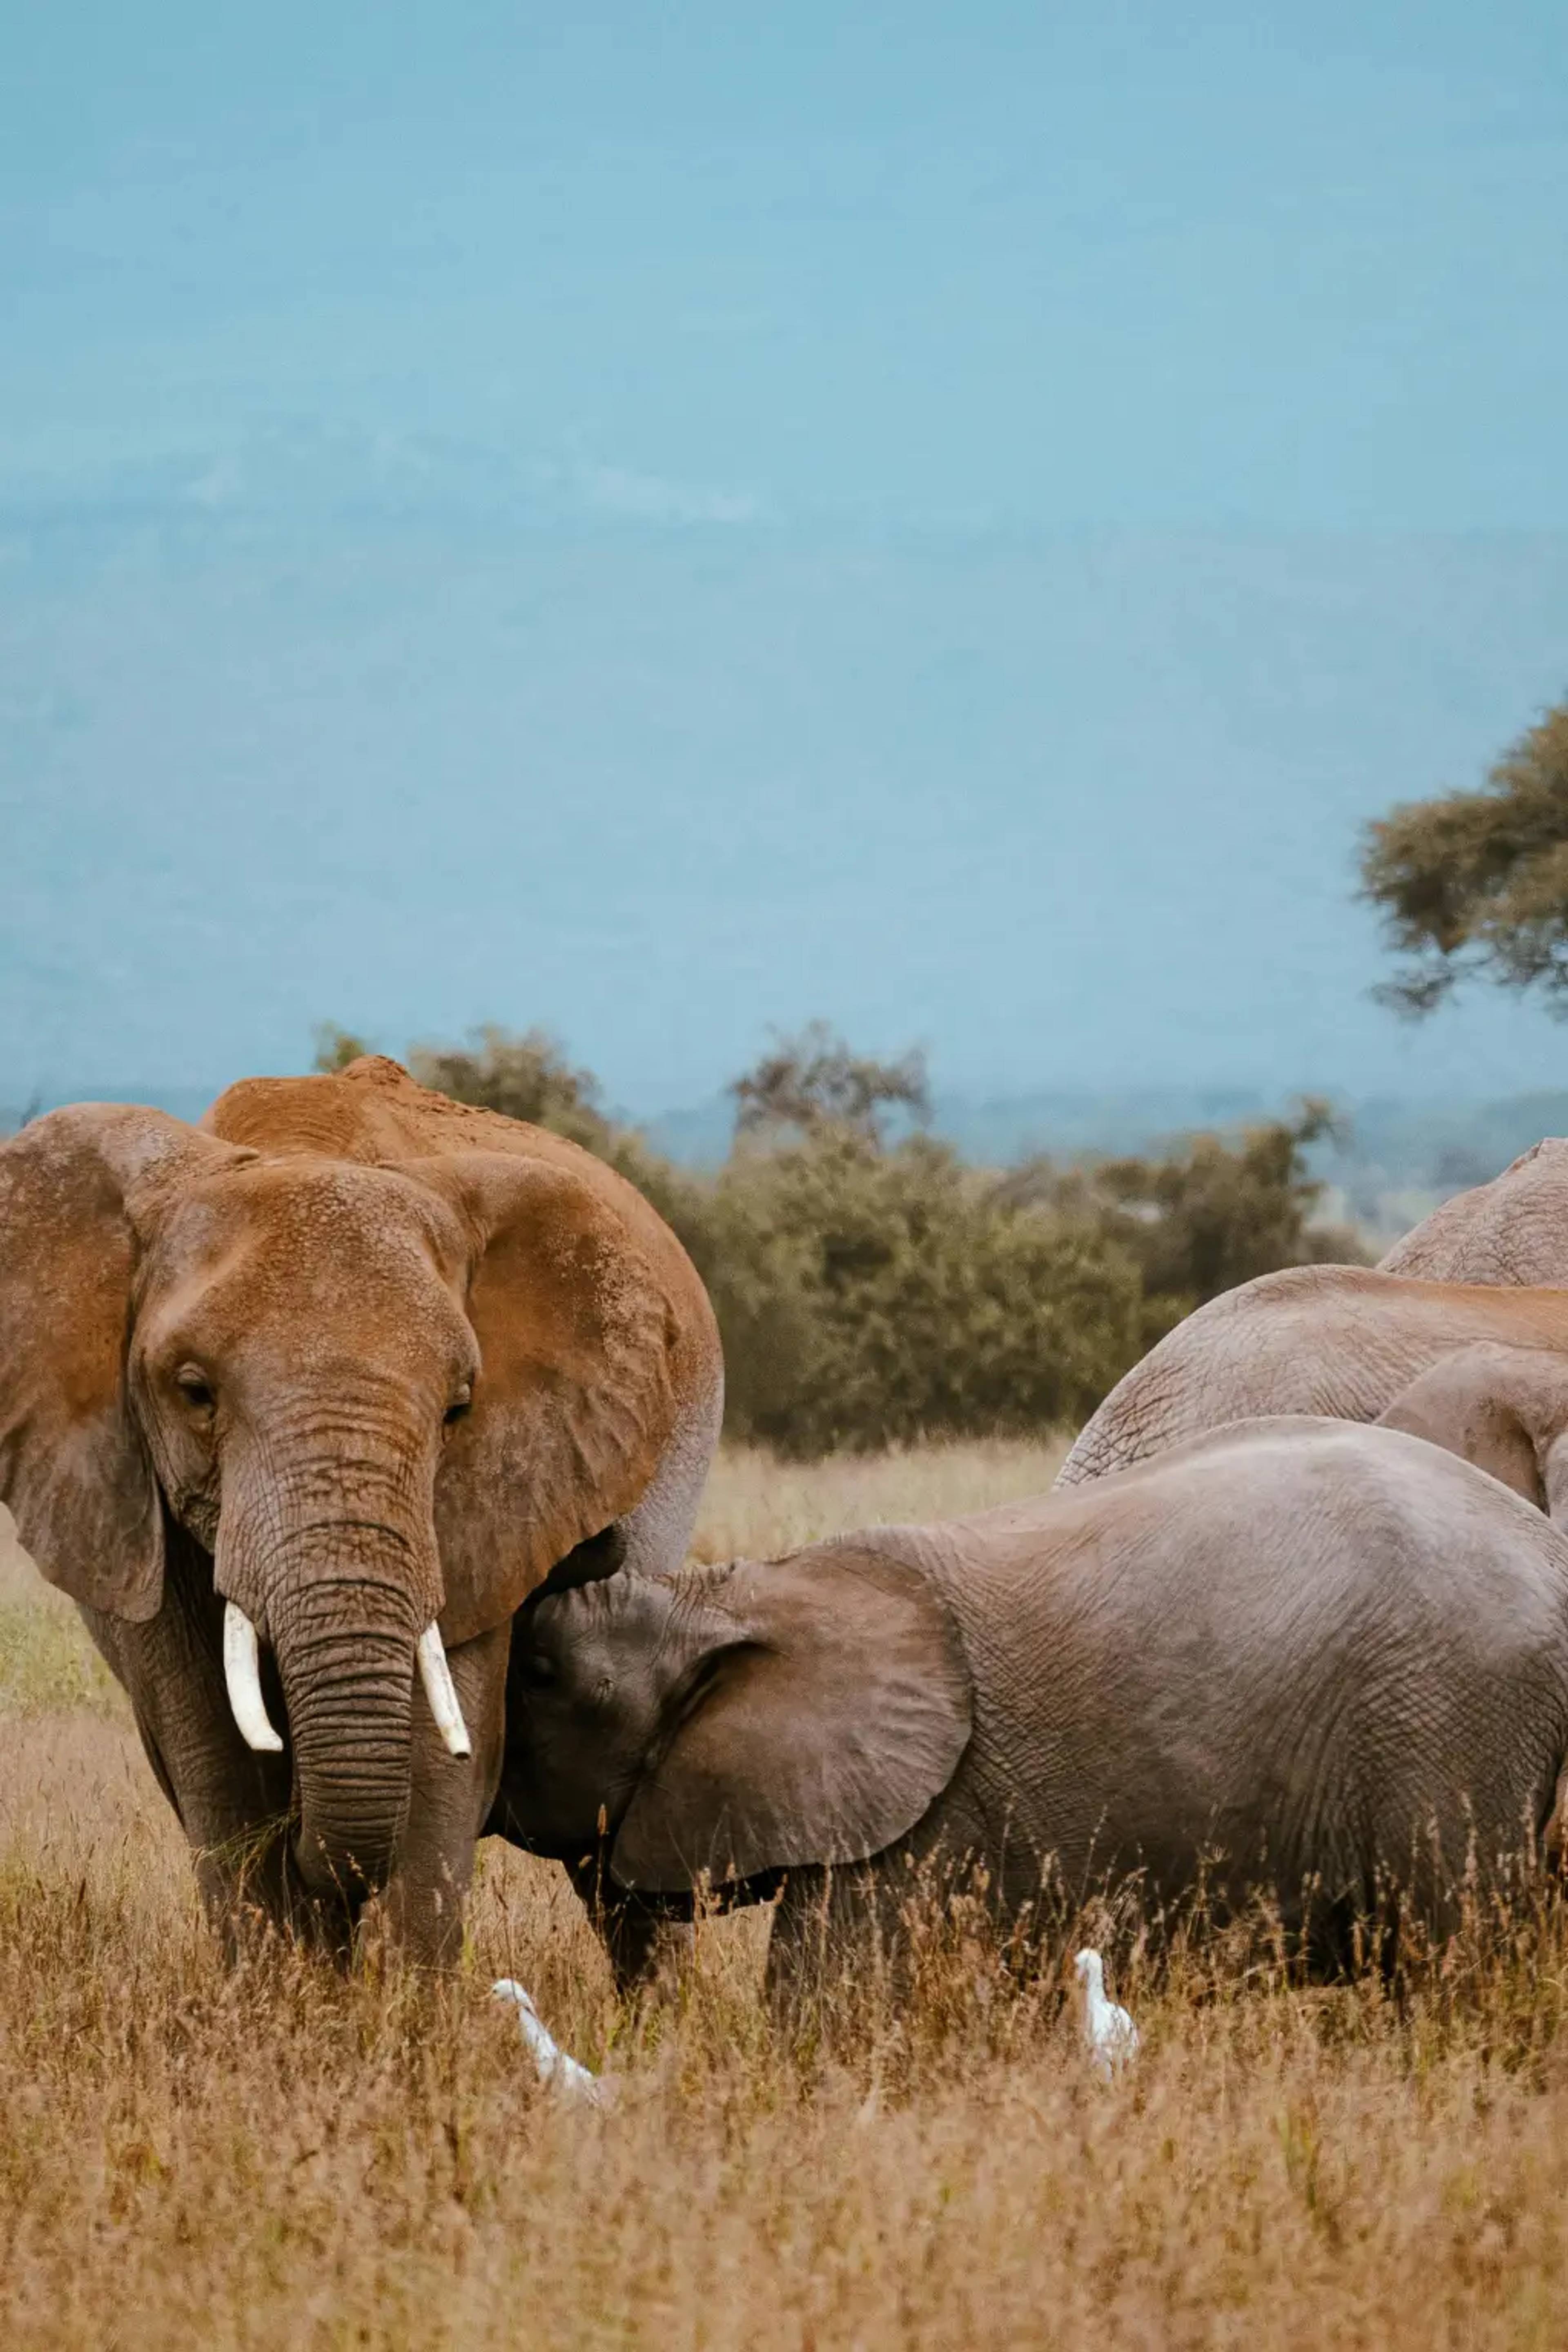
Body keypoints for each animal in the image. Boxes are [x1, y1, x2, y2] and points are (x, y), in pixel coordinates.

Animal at [0, 1055, 721, 1964]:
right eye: (193, 1392)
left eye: (458, 1408)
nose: (595, 1548)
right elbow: (220, 1766)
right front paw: (286, 1990)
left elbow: (437, 1762)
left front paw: (400, 2002)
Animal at [489, 1418, 1568, 2007]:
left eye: (539, 1672)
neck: (732, 1596)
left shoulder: (917, 1826)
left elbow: (830, 2005)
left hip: (1450, 1727)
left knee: (1454, 1958)